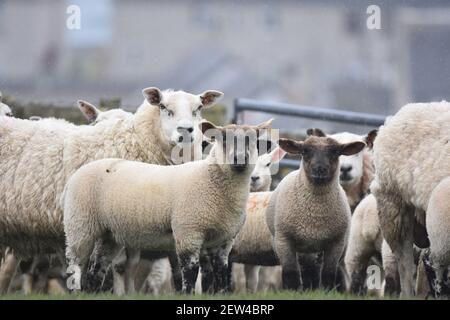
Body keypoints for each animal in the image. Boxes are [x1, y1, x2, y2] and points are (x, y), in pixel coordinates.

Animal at [62, 120, 274, 296]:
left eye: (254, 140)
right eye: (222, 139)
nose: (240, 159)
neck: (211, 181)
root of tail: (75, 176)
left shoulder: (224, 240)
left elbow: (221, 273)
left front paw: (220, 294)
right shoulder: (188, 232)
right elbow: (190, 272)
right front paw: (187, 293)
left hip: (109, 233)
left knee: (96, 268)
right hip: (79, 224)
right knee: (76, 264)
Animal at [264, 128, 366, 290]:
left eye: (336, 152)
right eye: (304, 151)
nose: (320, 169)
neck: (315, 214)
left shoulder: (336, 244)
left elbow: (329, 273)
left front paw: (327, 290)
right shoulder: (284, 241)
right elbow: (290, 273)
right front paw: (292, 290)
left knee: (312, 272)